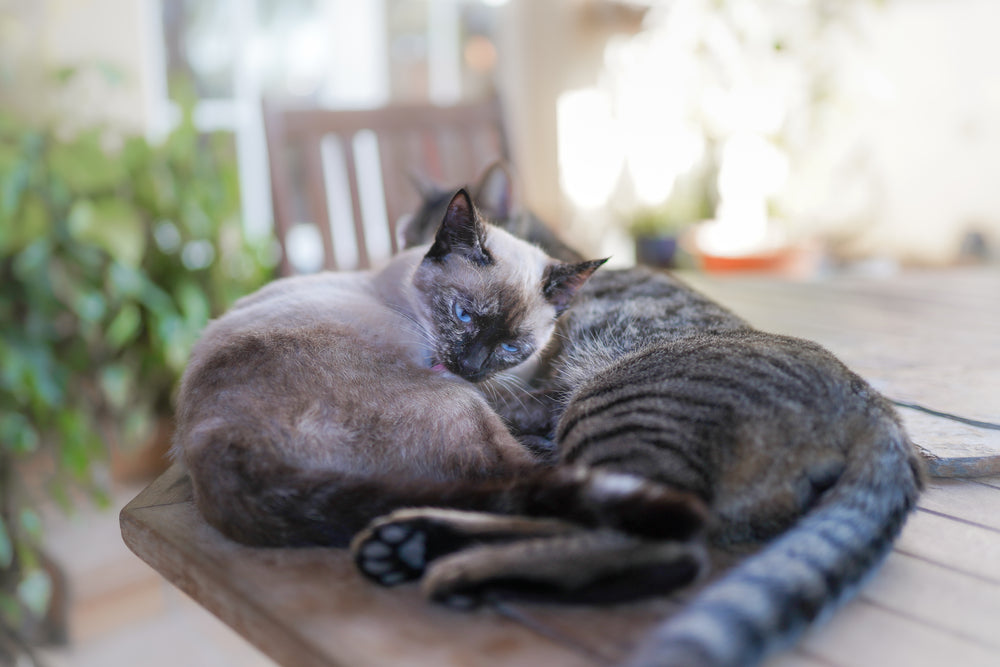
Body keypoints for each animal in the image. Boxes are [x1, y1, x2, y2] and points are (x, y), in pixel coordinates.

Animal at [170, 189, 672, 548]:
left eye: (512, 345)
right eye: (464, 315)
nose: (470, 366)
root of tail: (216, 449)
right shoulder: (487, 395)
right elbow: (537, 413)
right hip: (459, 405)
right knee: (522, 475)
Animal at [354, 168, 928, 667]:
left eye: (417, 236)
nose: (395, 256)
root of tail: (876, 411)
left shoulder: (530, 398)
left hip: (603, 412)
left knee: (666, 548)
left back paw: (456, 567)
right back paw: (414, 546)